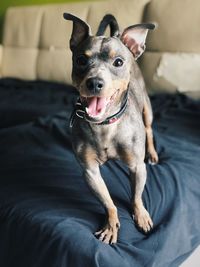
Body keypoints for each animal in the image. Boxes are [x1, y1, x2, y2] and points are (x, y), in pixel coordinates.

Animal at [63, 14, 159, 245]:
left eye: (118, 62)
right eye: (81, 60)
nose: (94, 82)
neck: (105, 124)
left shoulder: (137, 167)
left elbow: (136, 196)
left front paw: (141, 215)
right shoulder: (90, 172)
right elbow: (108, 201)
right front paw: (111, 224)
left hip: (147, 109)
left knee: (149, 129)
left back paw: (152, 153)